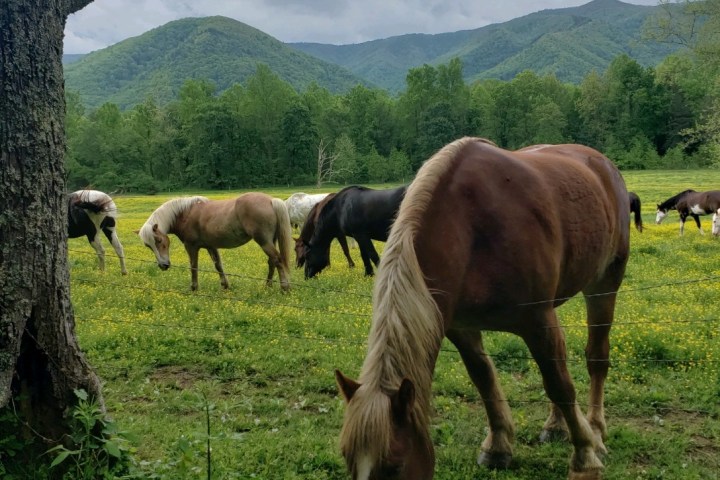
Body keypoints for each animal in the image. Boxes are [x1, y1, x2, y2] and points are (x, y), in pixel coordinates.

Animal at [139, 192, 292, 290]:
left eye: (159, 240)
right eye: (148, 246)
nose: (163, 265)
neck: (185, 213)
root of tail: (271, 200)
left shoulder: (191, 246)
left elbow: (193, 266)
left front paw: (194, 287)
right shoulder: (210, 246)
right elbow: (218, 266)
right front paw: (225, 286)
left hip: (264, 241)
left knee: (277, 260)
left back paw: (284, 287)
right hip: (270, 241)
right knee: (272, 261)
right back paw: (267, 286)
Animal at [334, 138, 628, 480]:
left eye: (394, 466)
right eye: (347, 458)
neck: (471, 228)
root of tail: (602, 163)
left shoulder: (537, 320)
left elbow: (560, 385)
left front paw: (585, 457)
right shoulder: (460, 327)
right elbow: (484, 378)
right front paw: (498, 446)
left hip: (604, 284)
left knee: (596, 357)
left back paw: (596, 429)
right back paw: (556, 426)